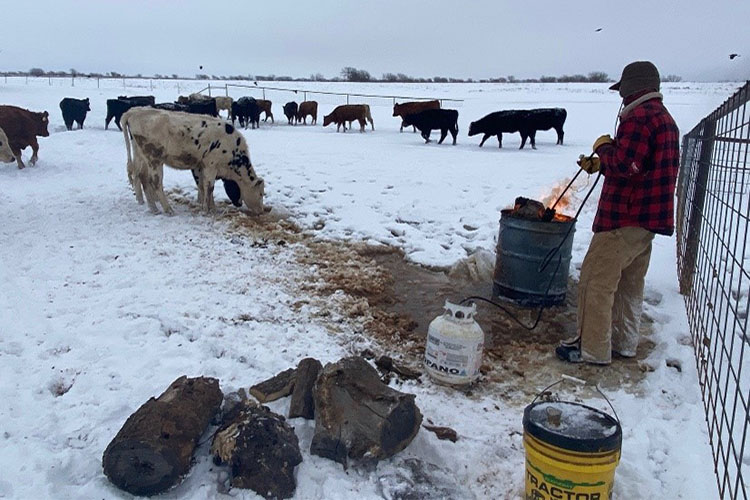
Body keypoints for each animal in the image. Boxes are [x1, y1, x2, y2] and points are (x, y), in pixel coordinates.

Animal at [122, 106, 266, 214]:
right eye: (260, 194)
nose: (261, 210)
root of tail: (135, 112)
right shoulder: (211, 166)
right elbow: (209, 187)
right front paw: (207, 210)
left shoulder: (200, 166)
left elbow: (202, 186)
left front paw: (210, 207)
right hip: (154, 159)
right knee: (155, 182)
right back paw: (168, 209)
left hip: (141, 156)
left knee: (141, 176)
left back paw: (152, 207)